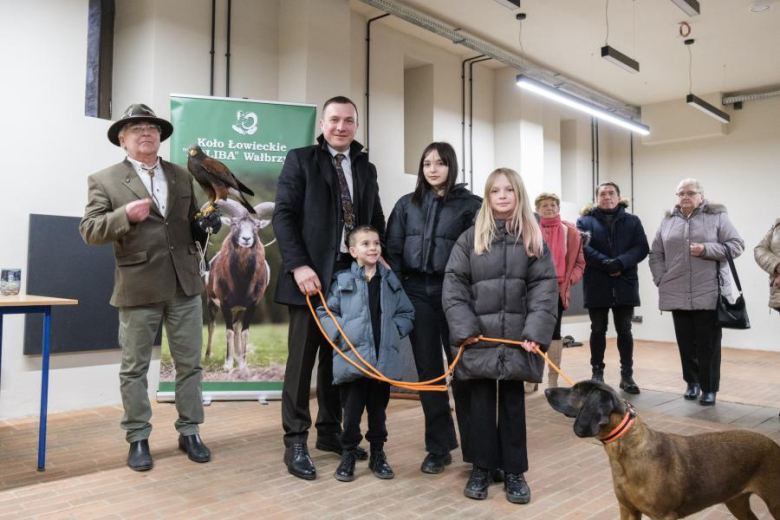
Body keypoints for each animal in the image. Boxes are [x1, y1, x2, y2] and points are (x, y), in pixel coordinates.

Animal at [544, 380, 776, 516]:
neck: (628, 452)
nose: (546, 389)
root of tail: (774, 445)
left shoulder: (664, 515)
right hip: (736, 501)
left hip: (775, 502)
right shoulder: (627, 509)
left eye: (576, 391)